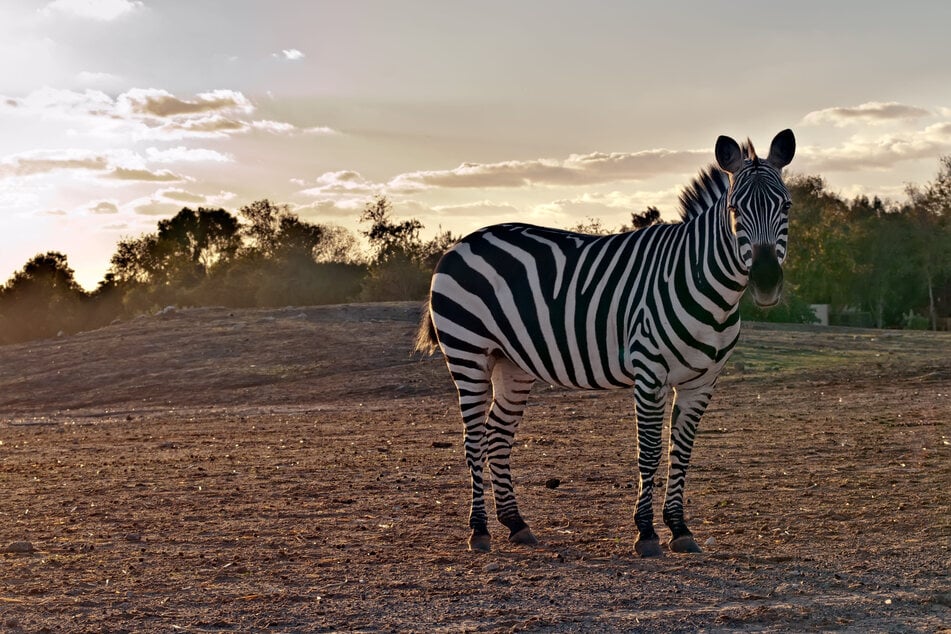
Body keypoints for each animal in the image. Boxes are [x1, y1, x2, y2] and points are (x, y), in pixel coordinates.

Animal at [415, 129, 795, 556]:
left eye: (786, 206)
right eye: (734, 210)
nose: (766, 282)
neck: (707, 286)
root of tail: (461, 243)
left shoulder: (702, 381)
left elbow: (681, 453)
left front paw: (680, 529)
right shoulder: (649, 370)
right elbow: (650, 451)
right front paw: (646, 533)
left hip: (512, 363)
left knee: (497, 435)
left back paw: (516, 524)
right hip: (468, 354)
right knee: (474, 439)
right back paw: (479, 531)